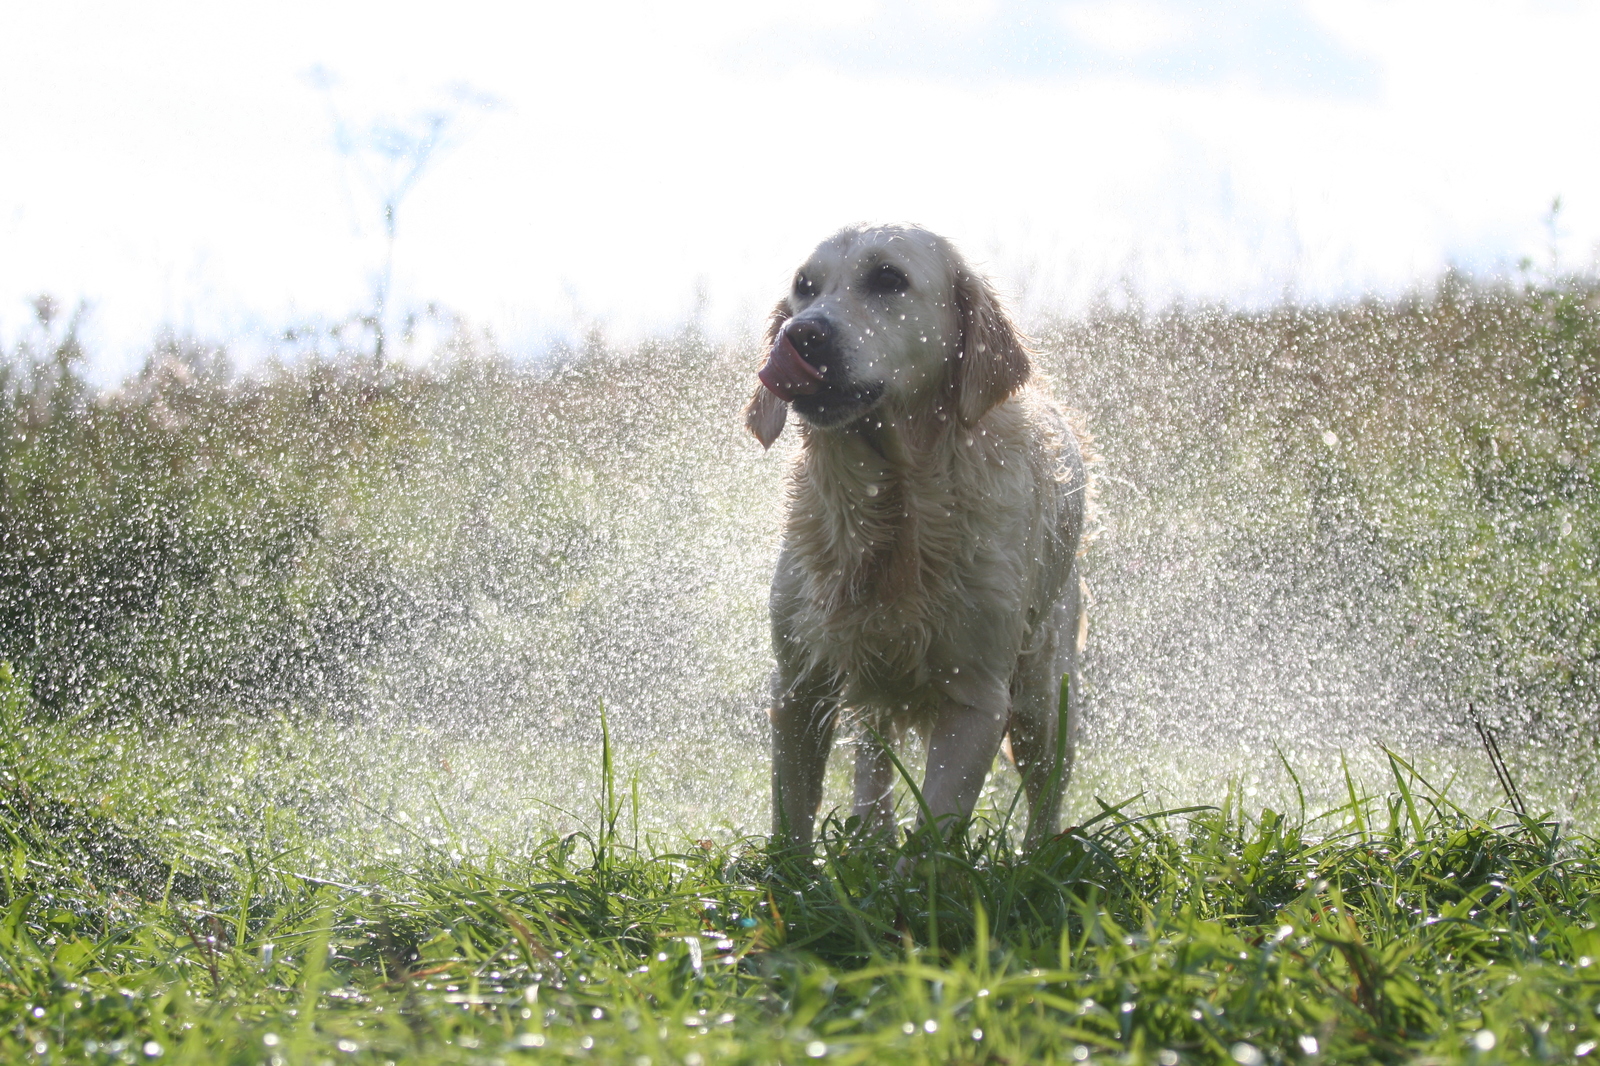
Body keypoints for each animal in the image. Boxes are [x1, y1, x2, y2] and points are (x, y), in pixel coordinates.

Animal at [745, 224, 1094, 845]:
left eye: (889, 278)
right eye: (804, 286)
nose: (801, 333)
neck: (897, 508)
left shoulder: (978, 700)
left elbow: (936, 828)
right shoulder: (798, 685)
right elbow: (791, 820)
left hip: (1042, 694)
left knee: (1048, 787)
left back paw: (1042, 855)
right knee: (873, 762)